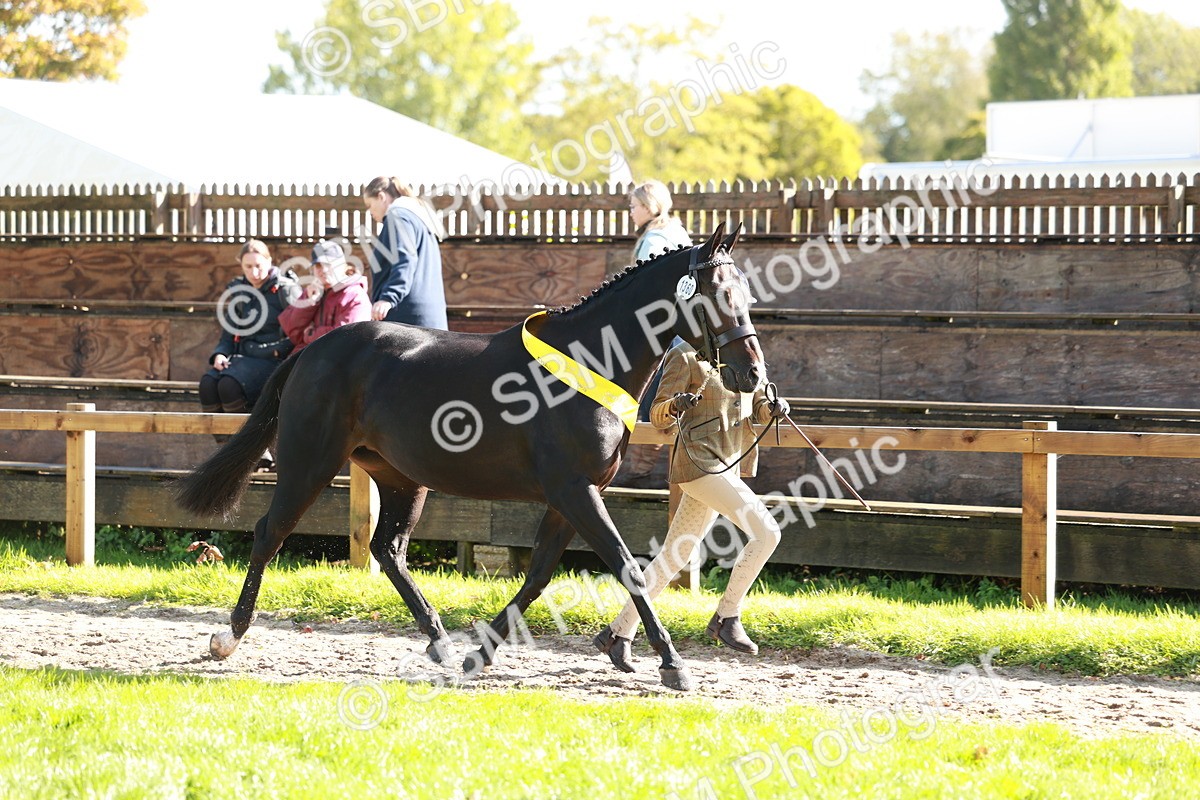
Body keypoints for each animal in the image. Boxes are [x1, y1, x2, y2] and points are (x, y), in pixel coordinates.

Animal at [174, 222, 766, 691]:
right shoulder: (575, 491)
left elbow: (538, 575)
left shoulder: (572, 496)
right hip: (309, 462)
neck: (588, 363)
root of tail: (312, 350)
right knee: (269, 532)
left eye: (745, 292)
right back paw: (228, 636)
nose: (752, 374)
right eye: (718, 293)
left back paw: (437, 639)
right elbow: (627, 568)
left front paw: (477, 655)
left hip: (401, 478)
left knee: (388, 549)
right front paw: (672, 664)